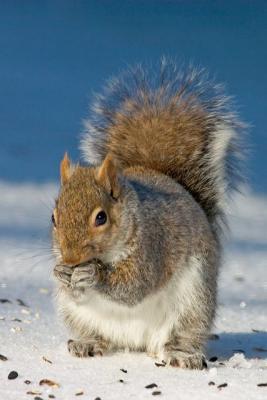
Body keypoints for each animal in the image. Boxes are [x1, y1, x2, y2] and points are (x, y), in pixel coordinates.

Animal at [52, 59, 243, 368]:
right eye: (53, 218)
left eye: (101, 217)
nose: (70, 259)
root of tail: (136, 343)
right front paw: (60, 273)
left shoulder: (153, 248)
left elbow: (134, 286)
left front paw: (93, 275)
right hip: (78, 316)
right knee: (98, 335)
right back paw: (88, 343)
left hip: (193, 303)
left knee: (181, 335)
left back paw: (181, 354)